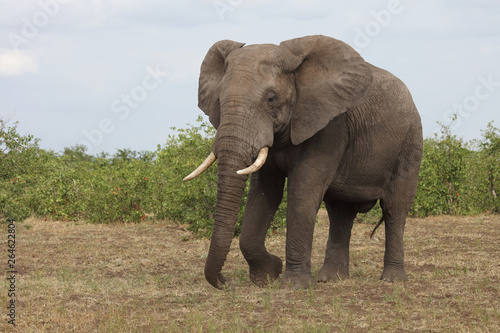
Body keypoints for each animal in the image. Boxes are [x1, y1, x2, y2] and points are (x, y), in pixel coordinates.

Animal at [184, 34, 422, 288]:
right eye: (219, 99)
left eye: (271, 98)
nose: (225, 282)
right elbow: (265, 192)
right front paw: (267, 275)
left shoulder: (330, 125)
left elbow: (303, 189)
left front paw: (294, 284)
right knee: (340, 212)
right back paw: (330, 278)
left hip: (410, 143)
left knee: (395, 208)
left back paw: (392, 279)